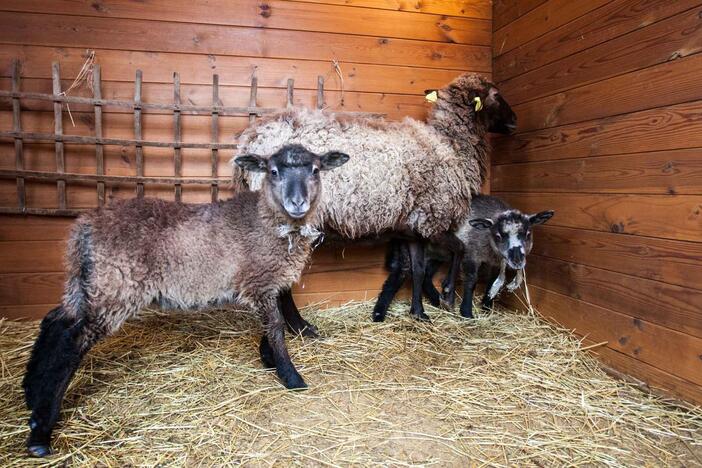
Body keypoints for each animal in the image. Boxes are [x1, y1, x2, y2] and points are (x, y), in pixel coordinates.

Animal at [20, 144, 350, 458]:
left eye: (315, 170)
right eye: (273, 171)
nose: (298, 203)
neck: (268, 221)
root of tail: (85, 226)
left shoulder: (267, 283)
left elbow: (271, 325)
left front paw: (268, 358)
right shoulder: (260, 281)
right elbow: (278, 328)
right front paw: (290, 375)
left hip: (88, 283)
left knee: (55, 322)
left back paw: (30, 391)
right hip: (116, 286)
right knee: (71, 340)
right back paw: (41, 432)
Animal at [235, 73, 516, 322]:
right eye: (495, 94)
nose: (515, 119)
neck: (449, 145)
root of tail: (250, 139)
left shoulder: (413, 227)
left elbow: (417, 269)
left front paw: (419, 313)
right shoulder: (432, 219)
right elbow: (459, 248)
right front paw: (447, 293)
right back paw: (301, 327)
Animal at [374, 195, 556, 322]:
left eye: (528, 234)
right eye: (498, 236)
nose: (517, 261)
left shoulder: (495, 261)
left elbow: (492, 281)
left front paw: (487, 306)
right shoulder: (470, 254)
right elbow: (472, 281)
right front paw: (467, 312)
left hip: (436, 254)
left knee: (425, 276)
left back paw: (438, 300)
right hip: (408, 249)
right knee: (399, 275)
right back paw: (379, 313)